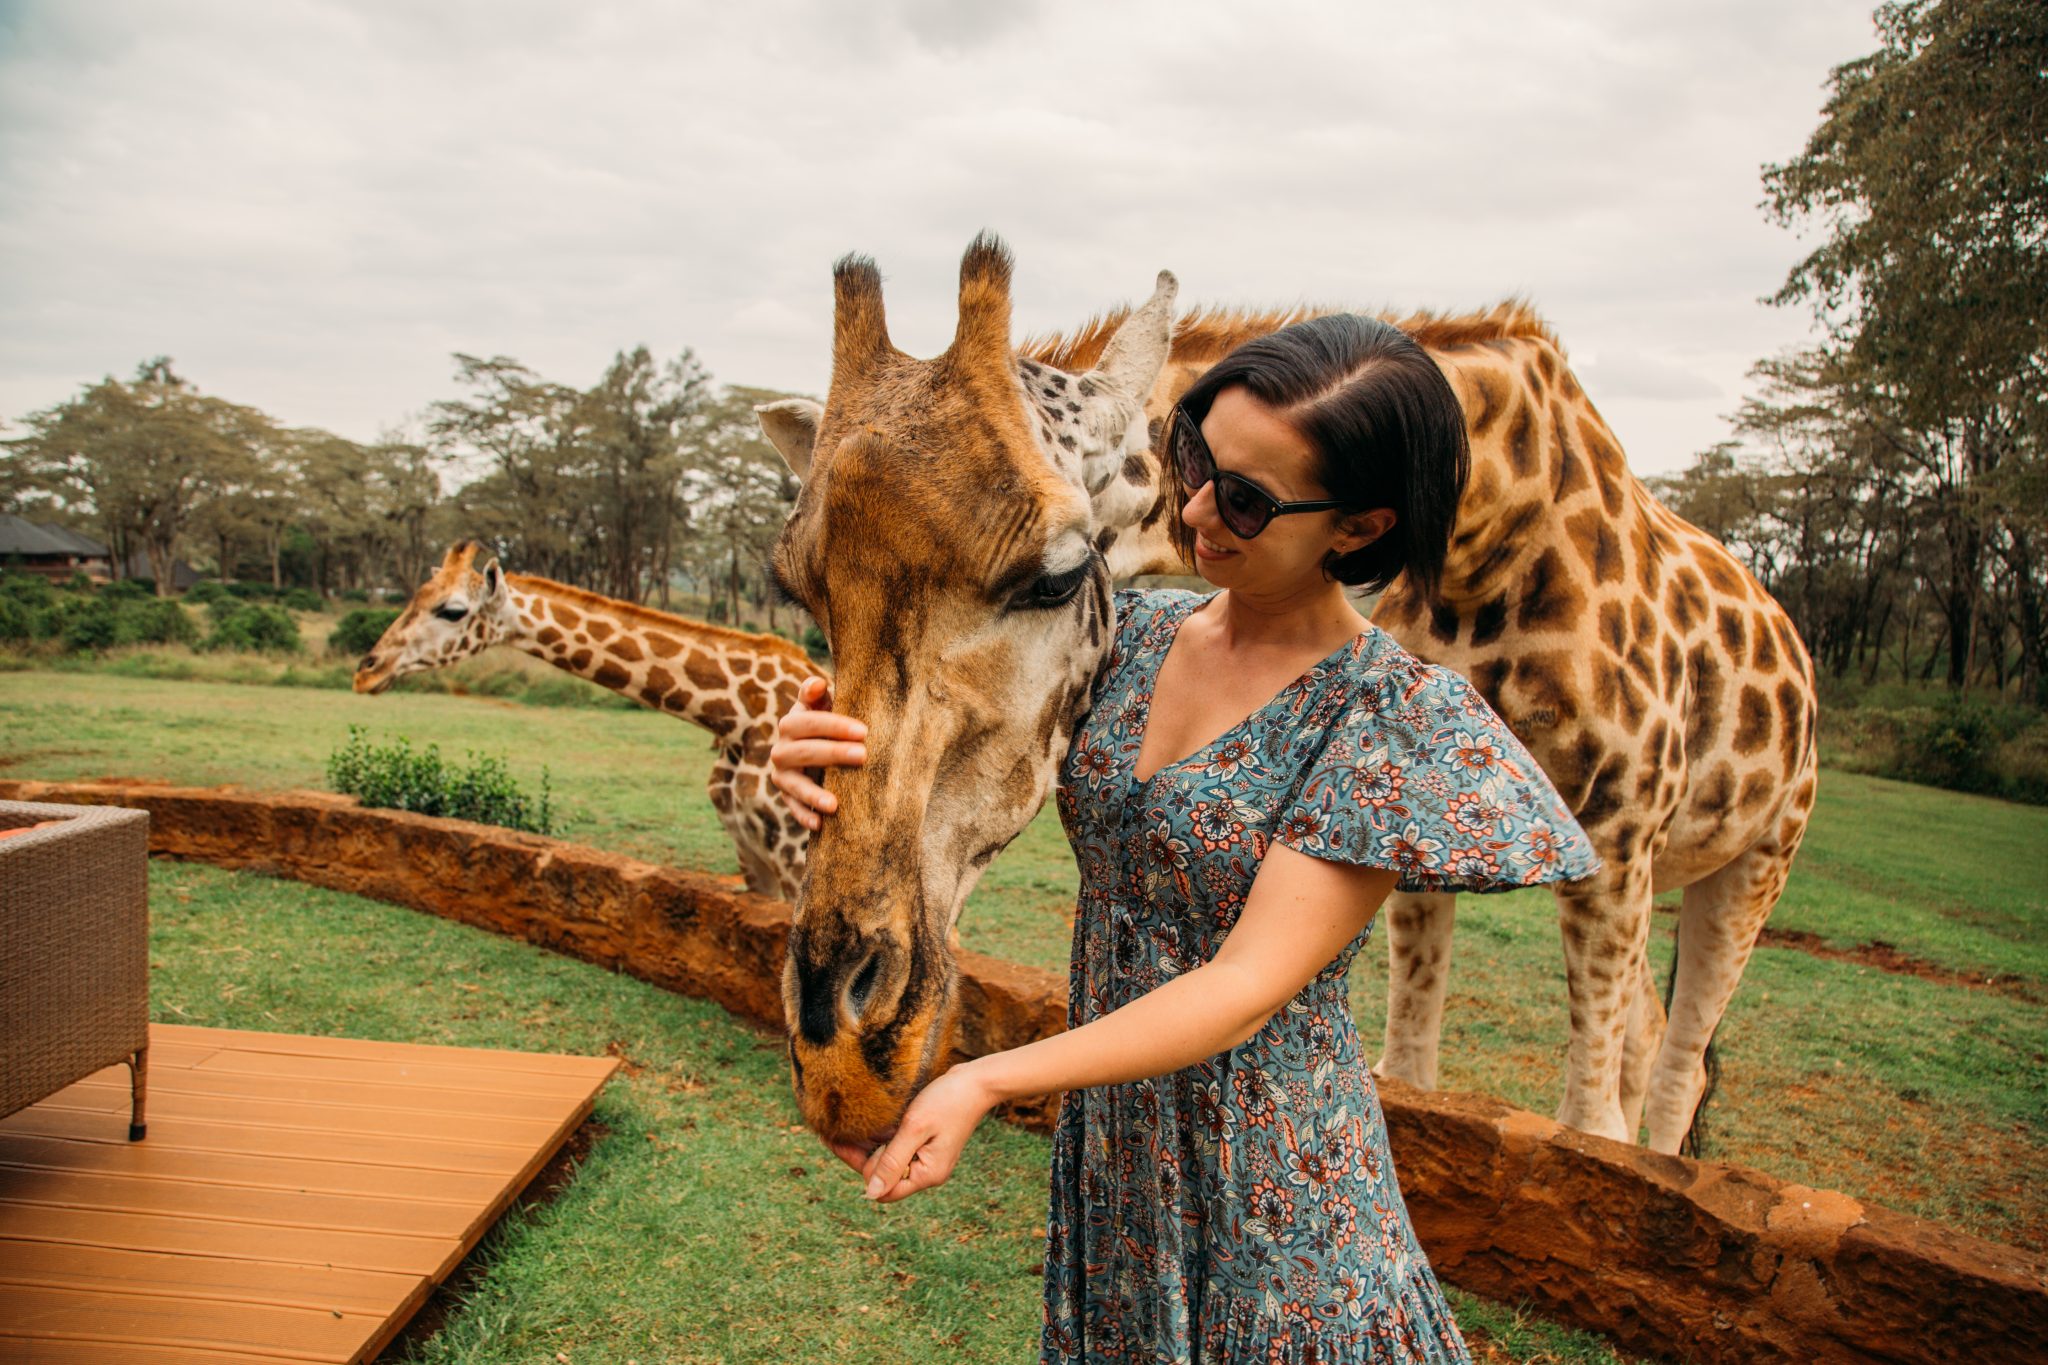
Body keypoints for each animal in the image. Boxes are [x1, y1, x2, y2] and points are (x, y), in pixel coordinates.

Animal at [354, 540, 823, 900]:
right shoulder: (749, 855)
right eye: (415, 596)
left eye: (451, 611)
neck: (735, 715)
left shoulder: (791, 855)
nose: (367, 671)